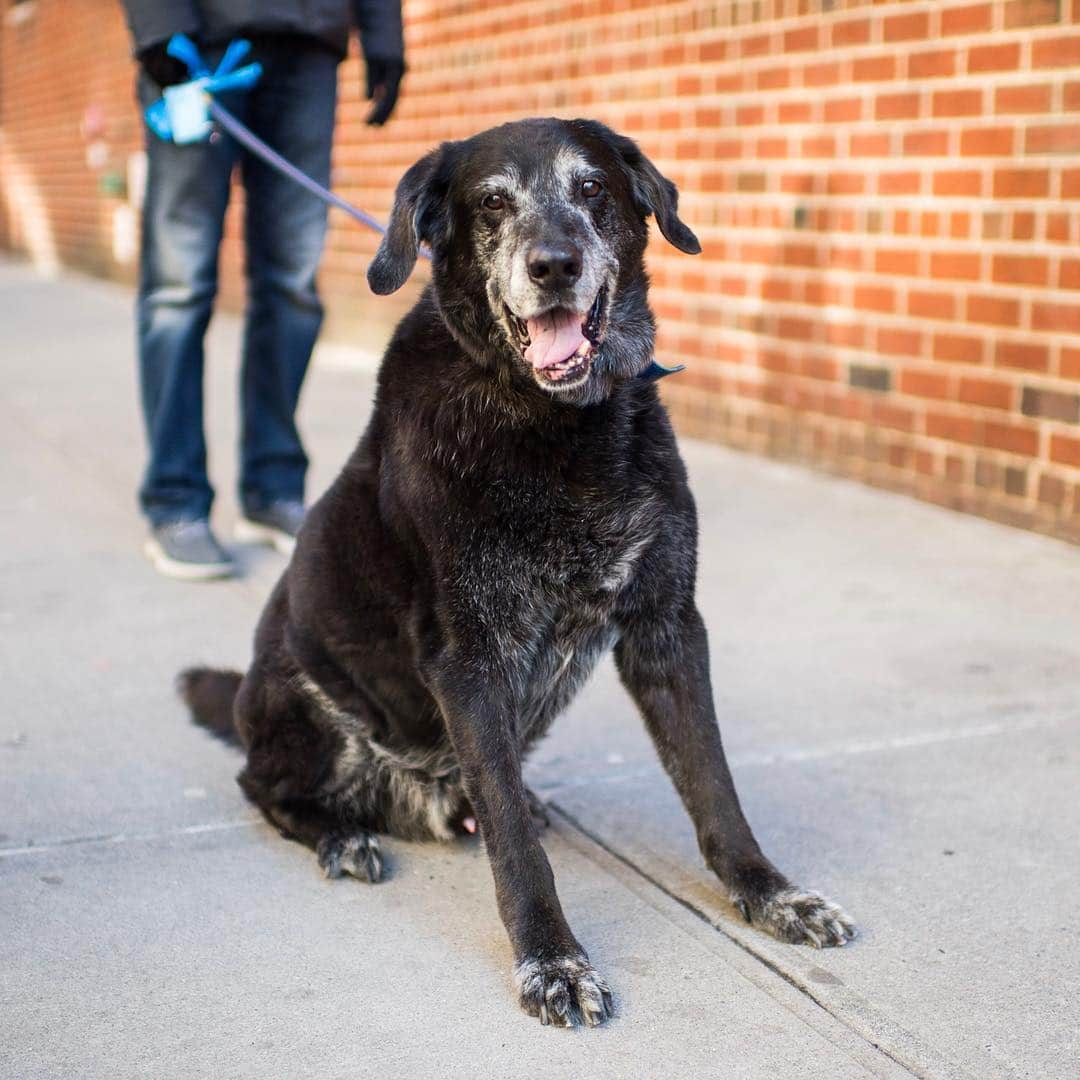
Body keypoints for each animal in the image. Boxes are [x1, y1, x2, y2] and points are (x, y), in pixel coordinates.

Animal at [181, 118, 855, 1028]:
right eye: (493, 203)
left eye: (593, 190)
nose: (554, 266)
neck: (557, 427)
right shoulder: (470, 662)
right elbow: (513, 846)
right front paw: (553, 961)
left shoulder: (668, 626)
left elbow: (713, 784)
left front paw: (771, 894)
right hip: (301, 703)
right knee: (264, 783)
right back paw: (342, 835)